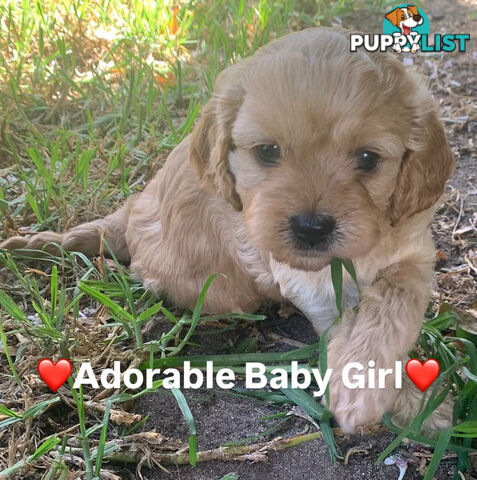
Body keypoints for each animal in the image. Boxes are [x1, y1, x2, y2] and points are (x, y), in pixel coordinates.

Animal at [0, 28, 454, 434]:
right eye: (268, 152)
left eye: (368, 159)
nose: (311, 228)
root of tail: (130, 214)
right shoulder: (311, 285)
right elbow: (342, 323)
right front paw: (396, 399)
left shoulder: (413, 250)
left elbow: (396, 303)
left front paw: (409, 397)